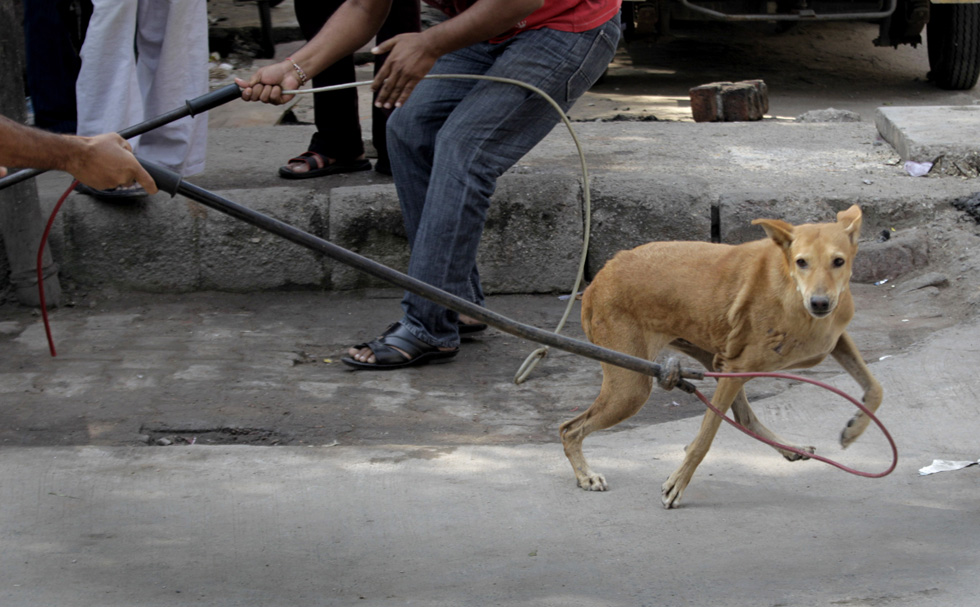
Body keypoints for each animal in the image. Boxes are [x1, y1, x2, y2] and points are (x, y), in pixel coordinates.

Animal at [564, 204, 884, 508]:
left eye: (838, 261)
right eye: (801, 261)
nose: (819, 303)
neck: (791, 290)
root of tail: (597, 280)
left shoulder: (836, 340)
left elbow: (876, 389)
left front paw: (855, 429)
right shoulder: (737, 369)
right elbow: (704, 438)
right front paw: (678, 483)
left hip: (713, 361)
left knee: (744, 417)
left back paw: (790, 449)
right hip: (632, 388)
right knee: (569, 429)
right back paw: (585, 475)